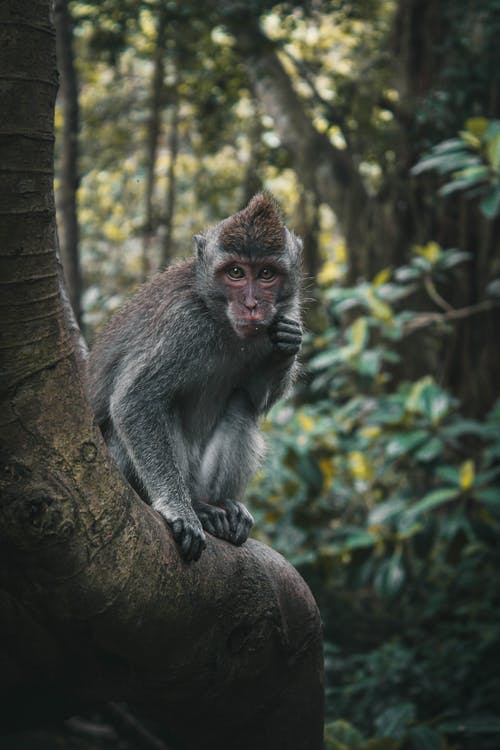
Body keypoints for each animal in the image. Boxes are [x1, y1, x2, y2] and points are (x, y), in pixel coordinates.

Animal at [86, 194, 302, 564]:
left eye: (266, 274)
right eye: (235, 272)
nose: (252, 305)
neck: (220, 319)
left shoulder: (288, 311)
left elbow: (255, 396)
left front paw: (286, 346)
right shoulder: (182, 325)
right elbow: (134, 399)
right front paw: (177, 509)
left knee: (241, 406)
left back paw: (221, 505)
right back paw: (197, 509)